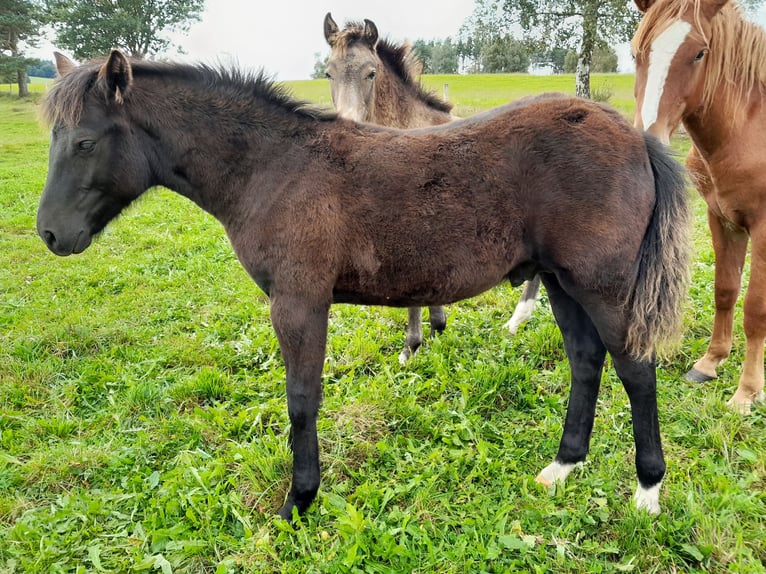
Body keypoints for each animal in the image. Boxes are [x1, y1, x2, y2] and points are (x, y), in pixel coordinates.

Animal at [37, 49, 696, 520]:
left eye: (85, 142)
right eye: (53, 140)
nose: (49, 233)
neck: (273, 168)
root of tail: (635, 136)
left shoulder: (299, 303)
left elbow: (302, 401)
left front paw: (298, 503)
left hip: (602, 286)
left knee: (636, 370)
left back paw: (647, 491)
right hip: (562, 282)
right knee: (587, 360)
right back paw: (563, 467)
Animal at [632, 0, 766, 414]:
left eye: (699, 53)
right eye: (636, 52)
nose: (648, 144)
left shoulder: (764, 229)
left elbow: (755, 308)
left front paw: (747, 392)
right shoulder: (722, 220)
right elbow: (725, 290)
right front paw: (709, 363)